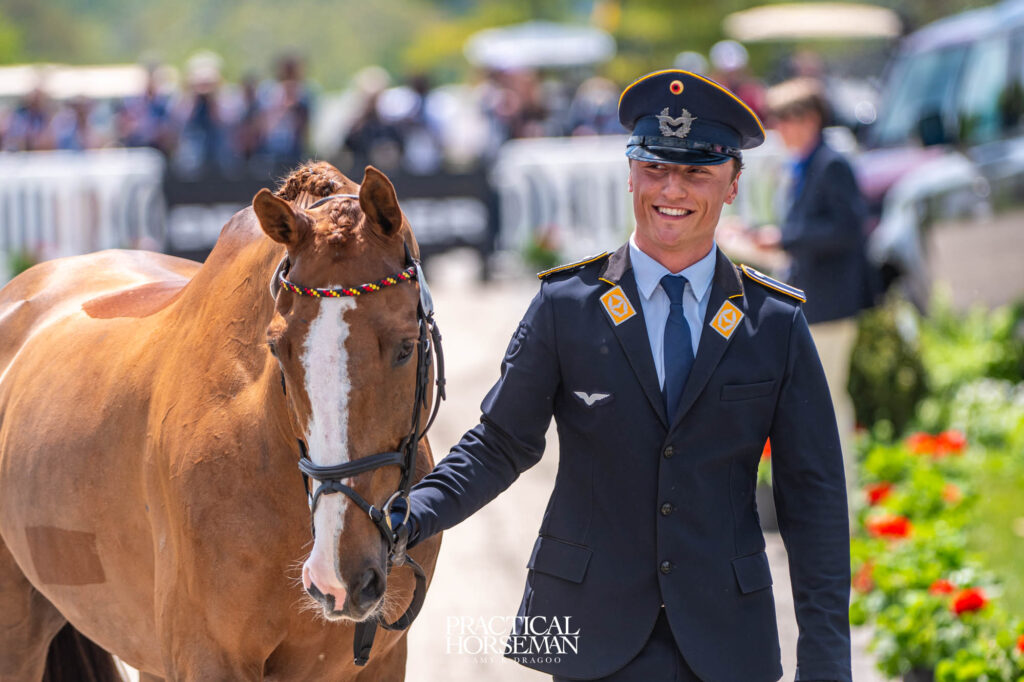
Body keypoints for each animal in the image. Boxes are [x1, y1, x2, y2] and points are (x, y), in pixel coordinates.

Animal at [0, 161, 443, 680]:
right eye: (277, 348)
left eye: (406, 346)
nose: (340, 576)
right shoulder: (209, 658)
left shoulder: (382, 660)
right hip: (18, 636)